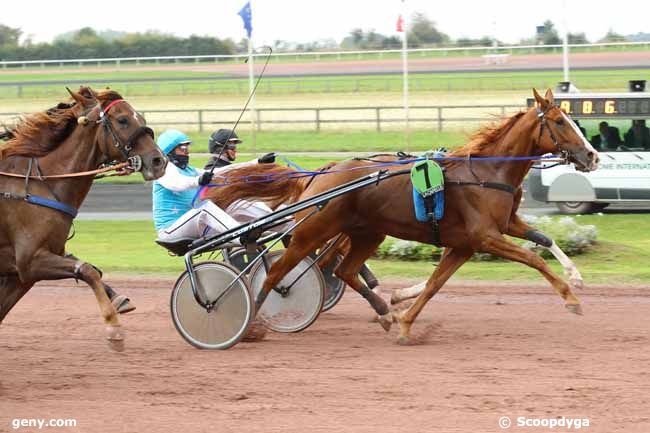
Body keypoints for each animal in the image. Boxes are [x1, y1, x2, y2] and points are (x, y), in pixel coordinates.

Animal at [0, 86, 166, 350]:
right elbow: (88, 270)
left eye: (141, 117)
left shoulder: (20, 273)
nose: (159, 160)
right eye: (123, 120)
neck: (40, 184)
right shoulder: (29, 261)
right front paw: (114, 327)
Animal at [206, 89, 596, 342]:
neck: (487, 172)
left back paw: (383, 311)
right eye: (560, 121)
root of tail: (323, 171)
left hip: (367, 233)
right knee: (279, 274)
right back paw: (252, 322)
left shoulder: (479, 238)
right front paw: (571, 299)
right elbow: (534, 258)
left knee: (342, 269)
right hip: (312, 231)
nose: (592, 156)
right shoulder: (485, 237)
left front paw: (404, 319)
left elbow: (441, 280)